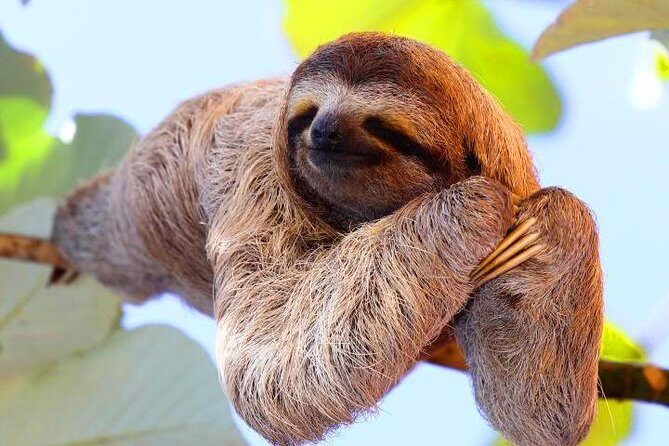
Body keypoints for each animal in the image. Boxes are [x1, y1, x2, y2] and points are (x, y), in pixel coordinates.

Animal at [52, 33, 603, 445]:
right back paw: (67, 229)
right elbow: (269, 353)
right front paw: (464, 209)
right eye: (308, 112)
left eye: (383, 126)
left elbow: (534, 410)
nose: (324, 130)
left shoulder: (512, 173)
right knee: (111, 233)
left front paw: (552, 231)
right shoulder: (256, 173)